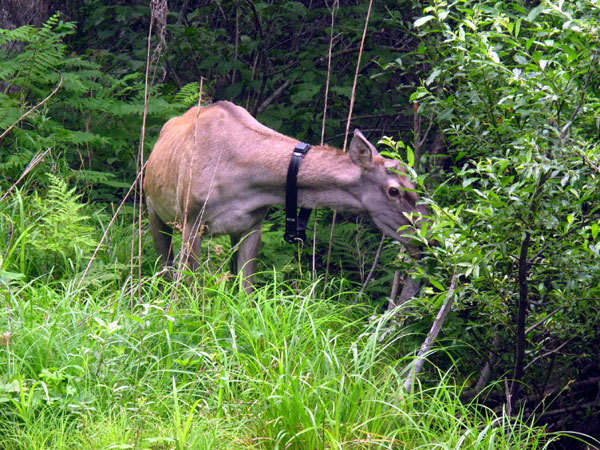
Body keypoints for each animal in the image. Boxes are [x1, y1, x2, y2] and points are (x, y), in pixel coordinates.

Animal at [144, 100, 428, 294]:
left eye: (413, 184)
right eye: (394, 190)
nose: (429, 239)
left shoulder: (251, 225)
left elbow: (246, 292)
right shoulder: (192, 220)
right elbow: (191, 289)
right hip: (154, 210)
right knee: (165, 267)